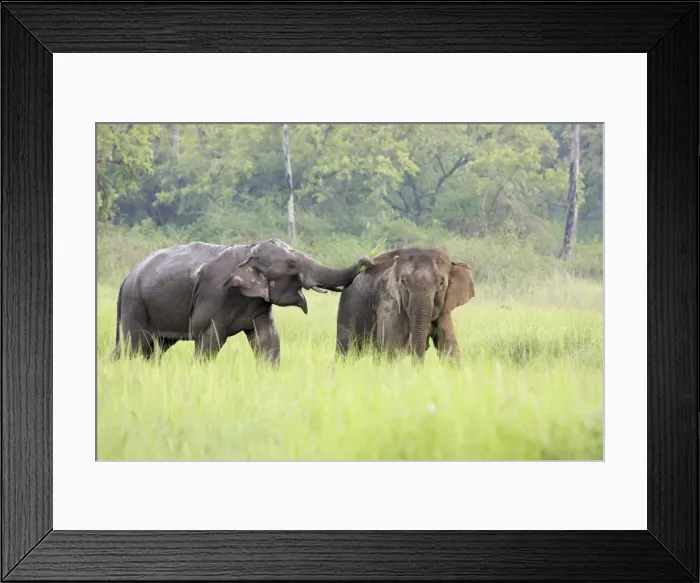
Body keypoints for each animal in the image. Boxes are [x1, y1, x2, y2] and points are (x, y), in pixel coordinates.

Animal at [111, 238, 374, 364]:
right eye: (292, 266)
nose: (367, 260)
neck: (250, 251)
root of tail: (126, 278)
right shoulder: (214, 297)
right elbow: (209, 341)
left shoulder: (258, 305)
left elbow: (268, 340)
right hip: (136, 305)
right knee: (133, 345)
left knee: (152, 348)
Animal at [336, 247, 475, 360]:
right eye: (403, 282)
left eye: (441, 283)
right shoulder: (388, 302)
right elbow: (391, 348)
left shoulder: (443, 310)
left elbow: (450, 348)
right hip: (347, 308)